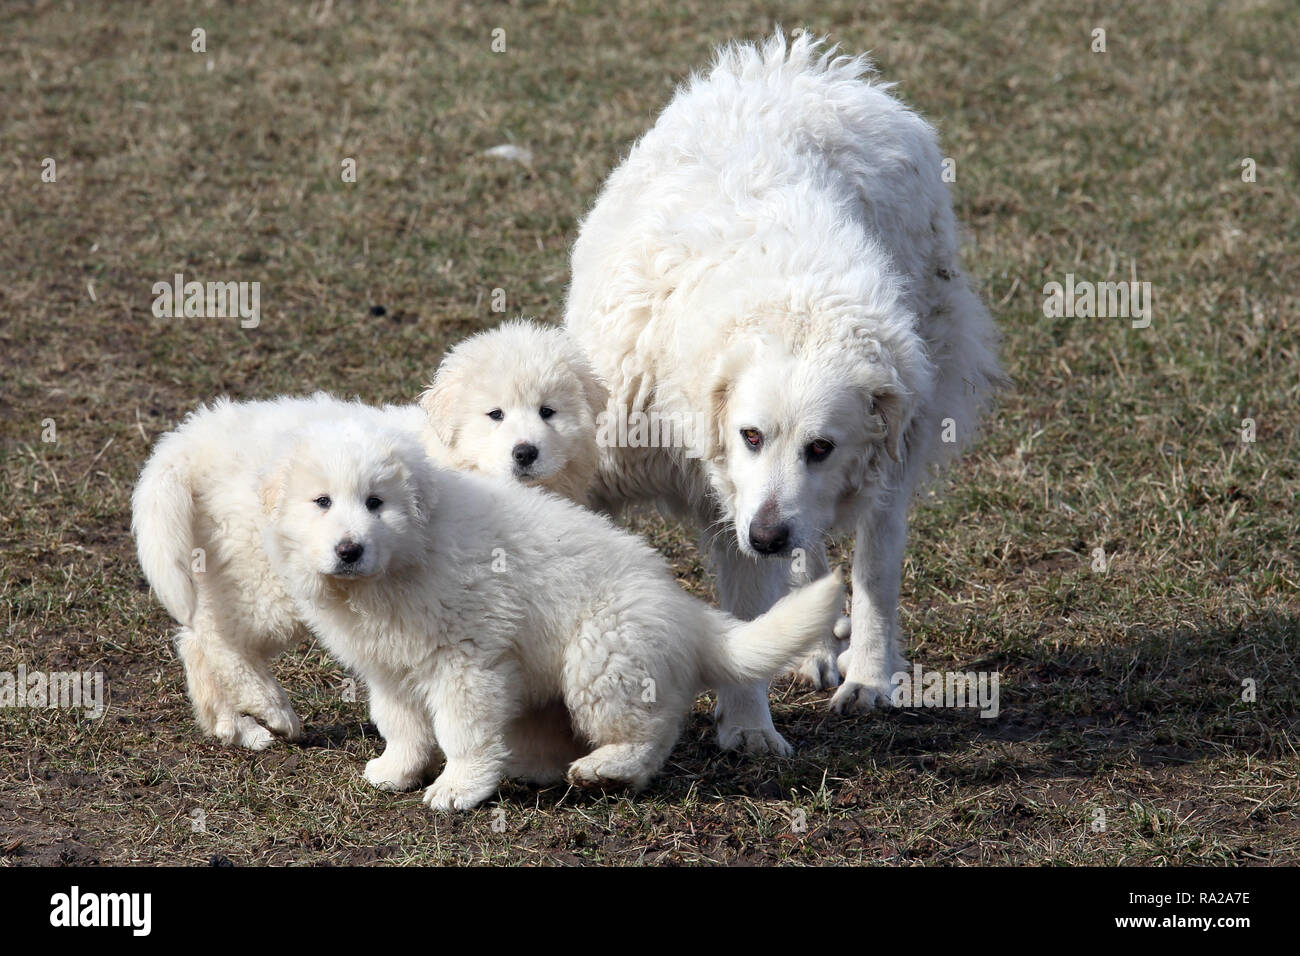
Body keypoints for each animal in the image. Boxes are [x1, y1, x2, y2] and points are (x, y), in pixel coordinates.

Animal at [261, 424, 842, 806]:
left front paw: (456, 788)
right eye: (321, 502)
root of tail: (687, 613)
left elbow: (461, 730)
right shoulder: (388, 668)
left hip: (603, 655)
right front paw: (397, 770)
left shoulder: (467, 661)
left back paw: (603, 770)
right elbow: (401, 724)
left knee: (650, 734)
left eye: (376, 503)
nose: (349, 549)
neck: (404, 560)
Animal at [566, 31, 1003, 754]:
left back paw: (866, 673)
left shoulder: (753, 510)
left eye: (822, 447)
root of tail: (811, 69)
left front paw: (748, 729)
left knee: (873, 560)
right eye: (750, 435)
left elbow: (760, 613)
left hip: (903, 437)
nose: (767, 535)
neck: (788, 302)